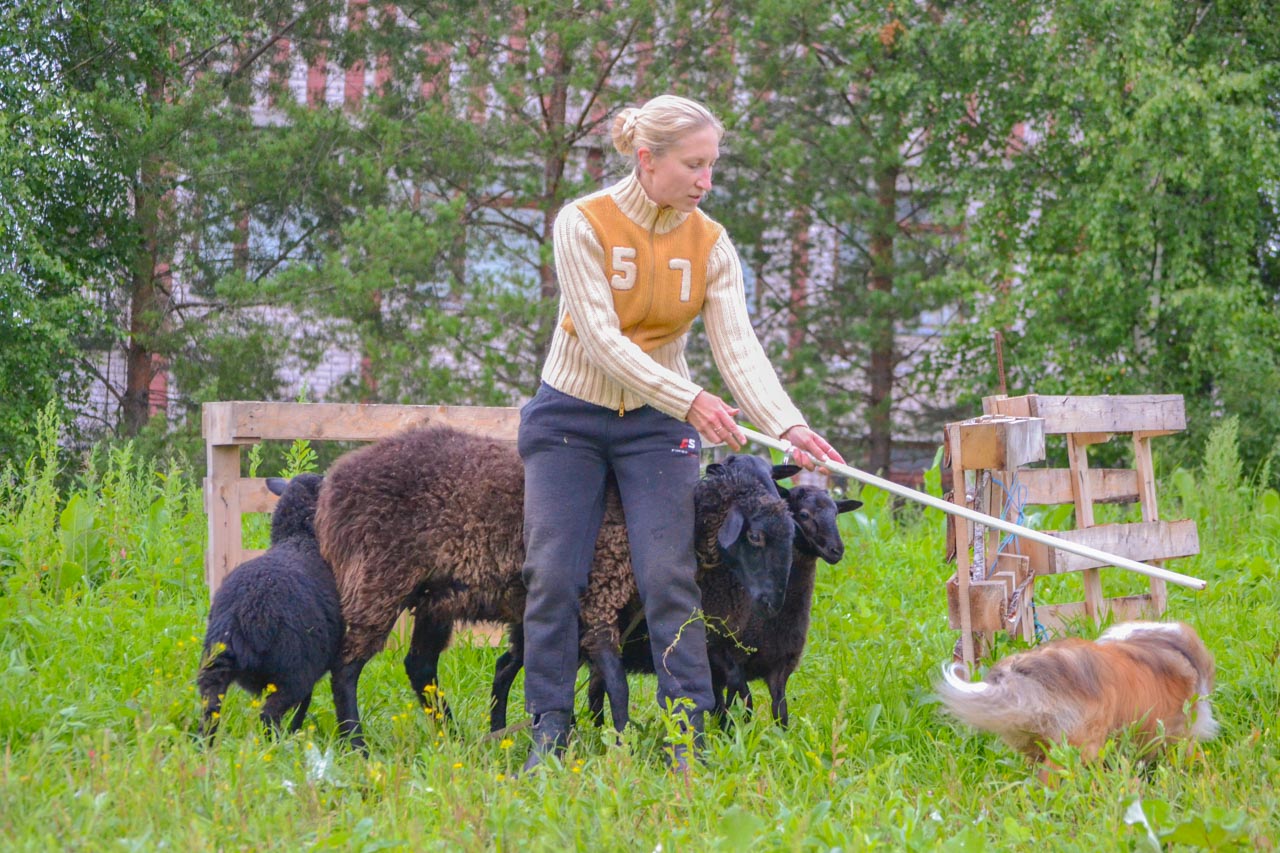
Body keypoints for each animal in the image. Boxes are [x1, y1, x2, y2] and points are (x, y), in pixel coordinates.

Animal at [197, 471, 343, 737]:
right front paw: (295, 731)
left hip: (214, 667)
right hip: (291, 674)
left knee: (210, 714)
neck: (299, 539)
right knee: (269, 715)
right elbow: (305, 703)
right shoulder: (312, 666)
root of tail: (247, 612)